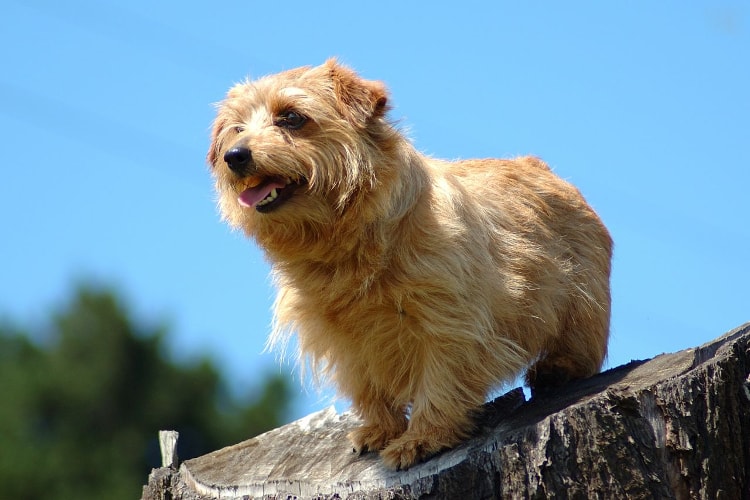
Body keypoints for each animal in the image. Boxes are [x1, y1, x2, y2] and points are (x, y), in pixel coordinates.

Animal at [206, 58, 612, 468]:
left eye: (291, 117)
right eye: (236, 128)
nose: (234, 156)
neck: (343, 244)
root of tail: (542, 167)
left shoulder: (450, 323)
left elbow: (440, 380)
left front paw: (422, 438)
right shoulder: (342, 339)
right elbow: (368, 387)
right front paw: (381, 430)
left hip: (584, 301)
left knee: (583, 348)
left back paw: (557, 370)